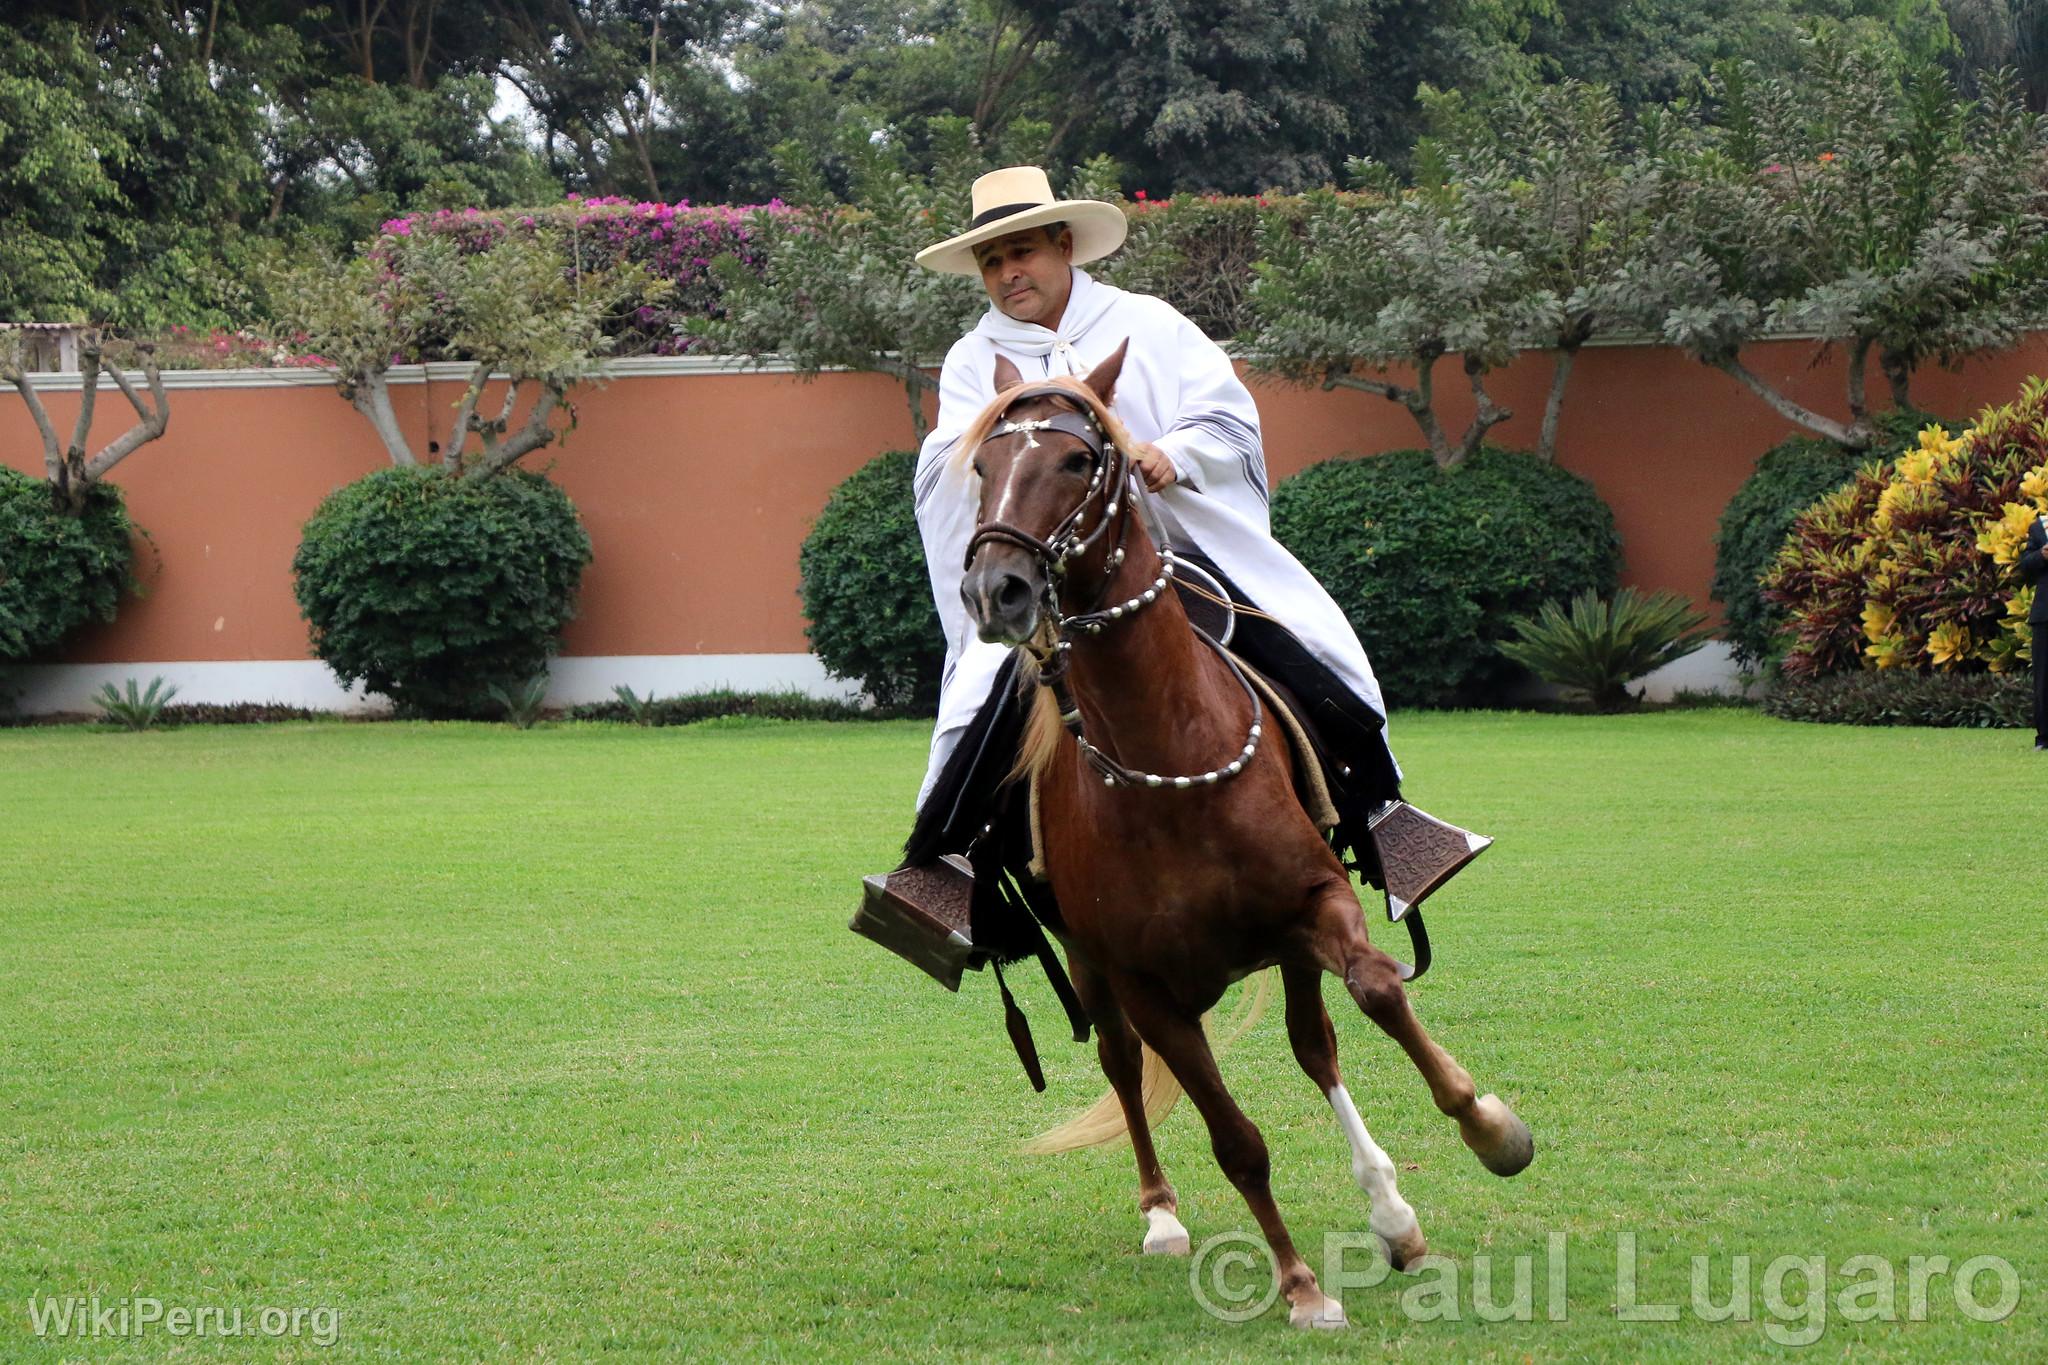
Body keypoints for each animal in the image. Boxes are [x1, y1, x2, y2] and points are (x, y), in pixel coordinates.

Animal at [950, 343, 1531, 1334]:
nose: (998, 589)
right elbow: (1235, 1139)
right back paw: (1162, 1217)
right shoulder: (1148, 987)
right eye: (982, 466)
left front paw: (1490, 1129)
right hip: (1096, 965)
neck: (1166, 752)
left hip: (1285, 946)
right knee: (1121, 1062)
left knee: (1316, 1045)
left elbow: (1378, 991)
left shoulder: (1314, 902)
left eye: (1079, 458)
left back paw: (1394, 1215)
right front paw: (1302, 1286)